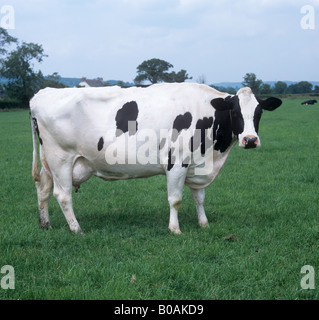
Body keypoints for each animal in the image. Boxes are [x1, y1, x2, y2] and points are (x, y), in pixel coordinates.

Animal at [30, 82, 282, 234]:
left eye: (259, 112)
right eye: (236, 112)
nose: (250, 140)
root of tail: (42, 93)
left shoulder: (199, 165)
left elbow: (199, 198)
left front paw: (203, 223)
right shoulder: (177, 162)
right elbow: (176, 199)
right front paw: (175, 229)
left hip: (48, 162)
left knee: (43, 189)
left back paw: (45, 224)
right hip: (60, 158)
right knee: (63, 195)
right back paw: (76, 229)